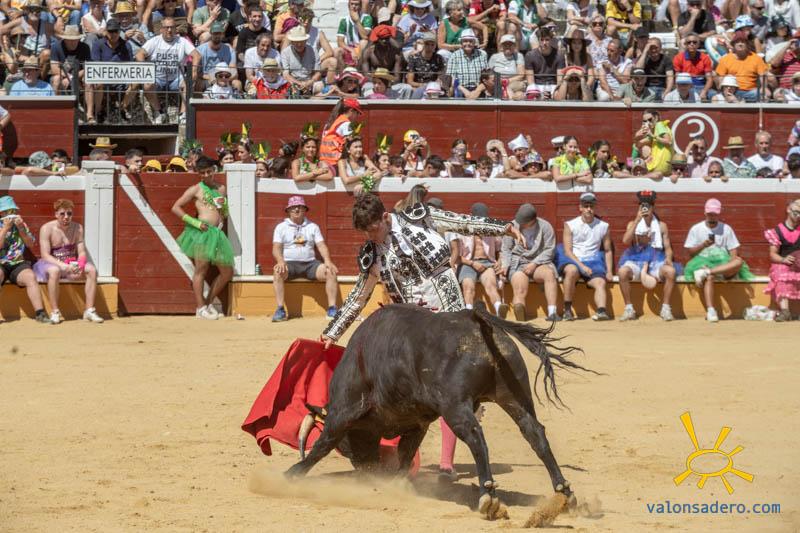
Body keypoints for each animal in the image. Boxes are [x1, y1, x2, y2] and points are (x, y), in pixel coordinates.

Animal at [286, 303, 594, 519]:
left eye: (348, 447)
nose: (368, 471)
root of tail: (475, 319)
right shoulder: (417, 423)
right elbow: (406, 453)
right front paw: (397, 483)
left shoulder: (344, 410)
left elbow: (323, 444)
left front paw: (292, 473)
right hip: (514, 396)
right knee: (535, 433)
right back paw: (564, 492)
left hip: (454, 405)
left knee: (475, 436)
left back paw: (488, 497)